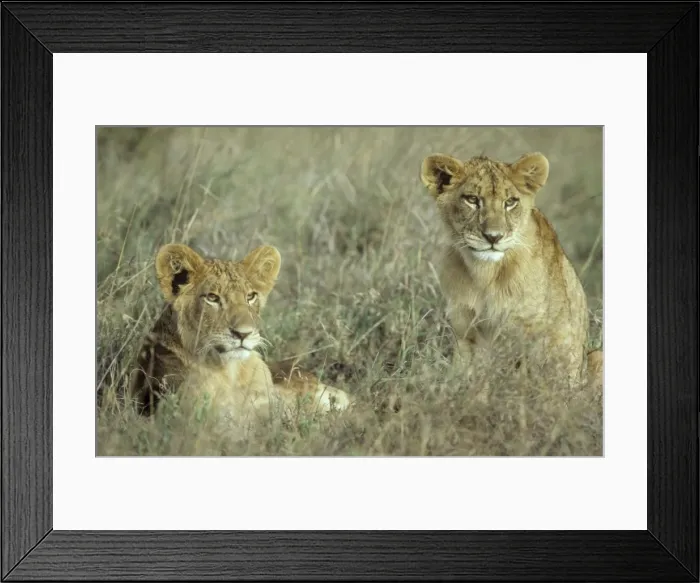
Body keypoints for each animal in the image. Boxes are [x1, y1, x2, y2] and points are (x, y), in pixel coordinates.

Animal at [420, 151, 603, 392]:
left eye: (510, 202)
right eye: (472, 200)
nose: (493, 237)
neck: (485, 274)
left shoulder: (527, 334)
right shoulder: (464, 329)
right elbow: (464, 378)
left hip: (595, 357)